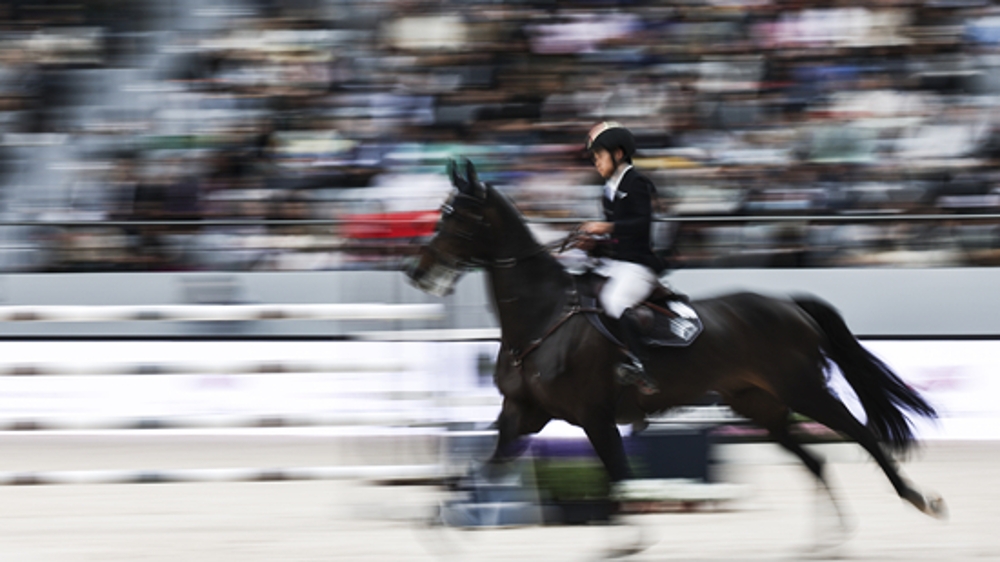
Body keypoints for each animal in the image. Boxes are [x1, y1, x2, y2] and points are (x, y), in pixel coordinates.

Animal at [404, 158, 944, 520]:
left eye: (458, 216)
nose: (416, 272)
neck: (541, 317)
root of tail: (790, 305)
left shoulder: (593, 417)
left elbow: (621, 483)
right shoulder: (524, 416)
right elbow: (481, 473)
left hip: (803, 390)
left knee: (862, 434)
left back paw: (920, 500)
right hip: (760, 405)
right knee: (815, 460)